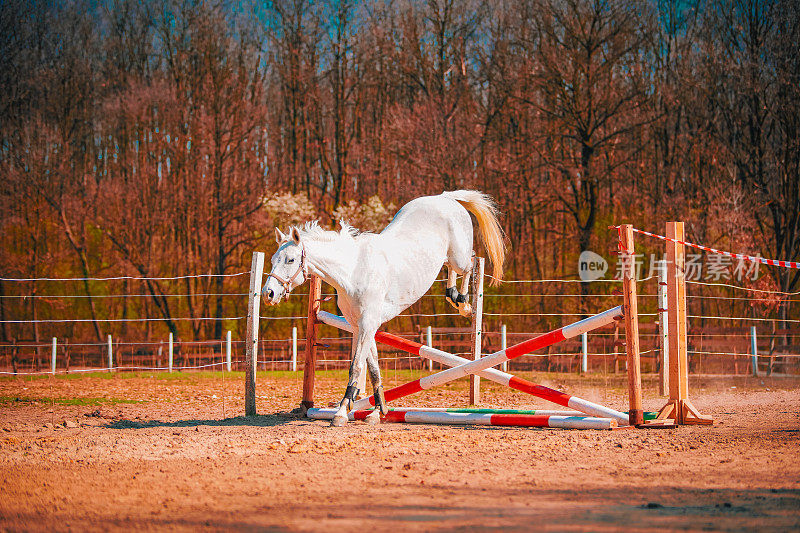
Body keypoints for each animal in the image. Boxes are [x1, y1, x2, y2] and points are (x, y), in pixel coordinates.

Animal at [264, 189, 506, 426]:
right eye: (274, 259)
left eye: (290, 260)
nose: (268, 294)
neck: (353, 271)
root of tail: (445, 197)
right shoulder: (360, 325)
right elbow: (372, 368)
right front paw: (377, 412)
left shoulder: (367, 323)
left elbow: (356, 366)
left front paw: (341, 413)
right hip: (445, 259)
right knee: (451, 268)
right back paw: (452, 296)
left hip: (459, 256)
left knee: (471, 262)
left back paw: (463, 303)